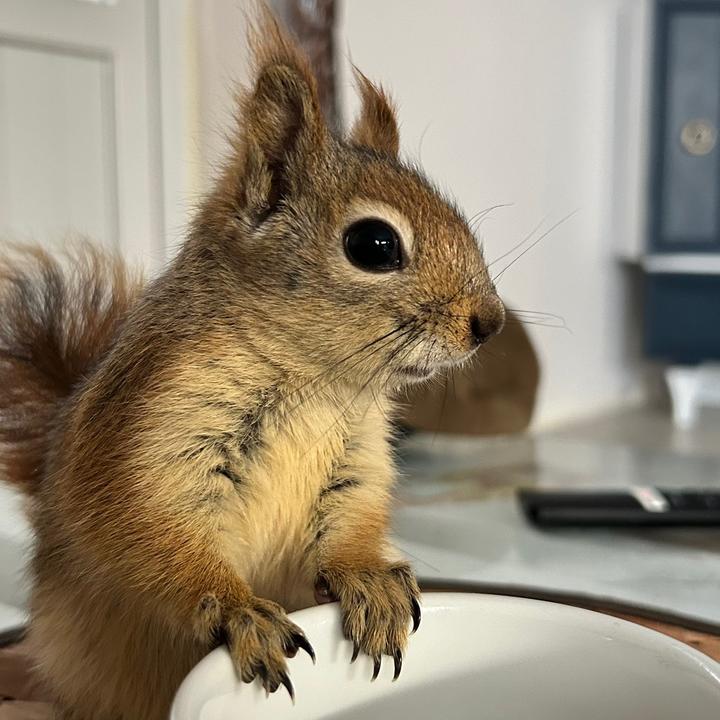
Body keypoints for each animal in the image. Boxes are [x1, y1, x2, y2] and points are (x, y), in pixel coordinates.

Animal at [0, 9, 505, 720]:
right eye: (374, 244)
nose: (490, 323)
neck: (317, 381)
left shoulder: (357, 459)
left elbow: (354, 521)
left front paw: (369, 579)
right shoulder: (150, 441)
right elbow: (159, 540)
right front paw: (242, 614)